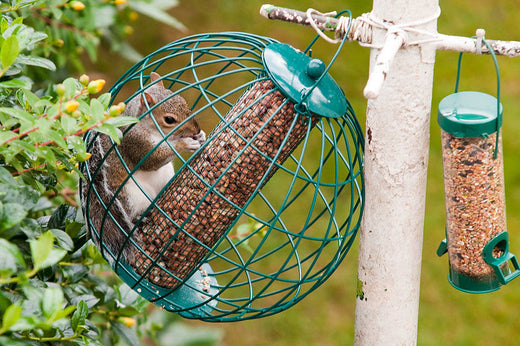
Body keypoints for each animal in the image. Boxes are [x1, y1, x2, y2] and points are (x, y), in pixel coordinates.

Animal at [81, 71, 205, 264]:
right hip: (130, 198)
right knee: (131, 214)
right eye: (169, 119)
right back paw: (139, 217)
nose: (196, 129)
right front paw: (185, 143)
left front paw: (200, 136)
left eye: (184, 103)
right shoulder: (135, 143)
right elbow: (153, 160)